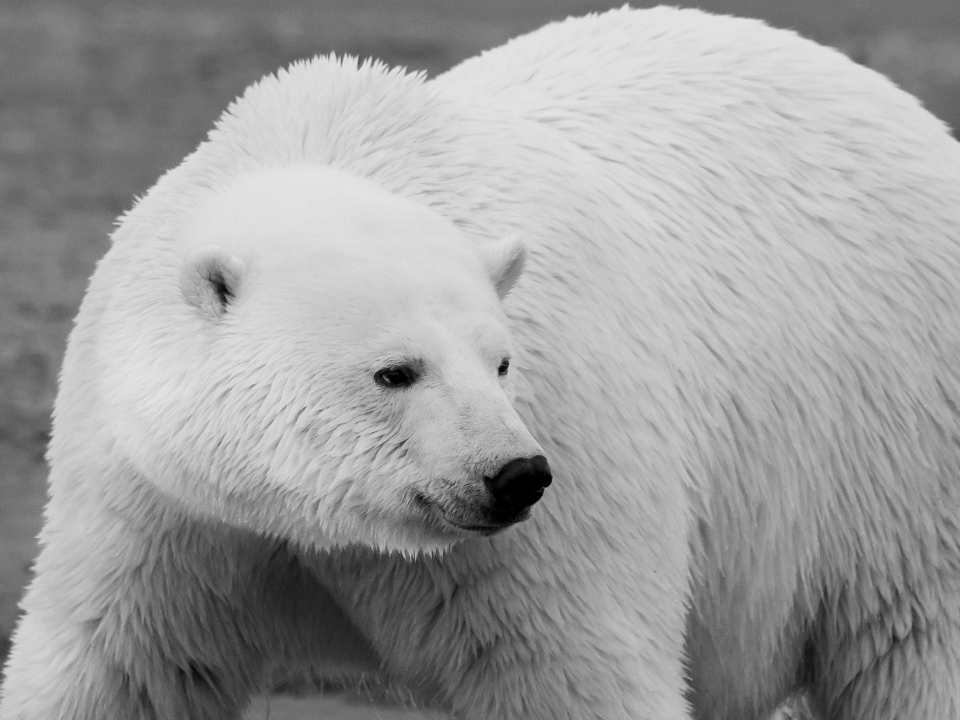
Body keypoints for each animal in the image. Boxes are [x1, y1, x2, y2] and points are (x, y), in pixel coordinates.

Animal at [4, 4, 960, 720]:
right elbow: (117, 666)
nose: (516, 474)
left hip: (899, 434)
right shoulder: (162, 504)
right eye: (396, 371)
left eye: (502, 362)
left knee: (914, 639)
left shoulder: (558, 493)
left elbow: (571, 671)